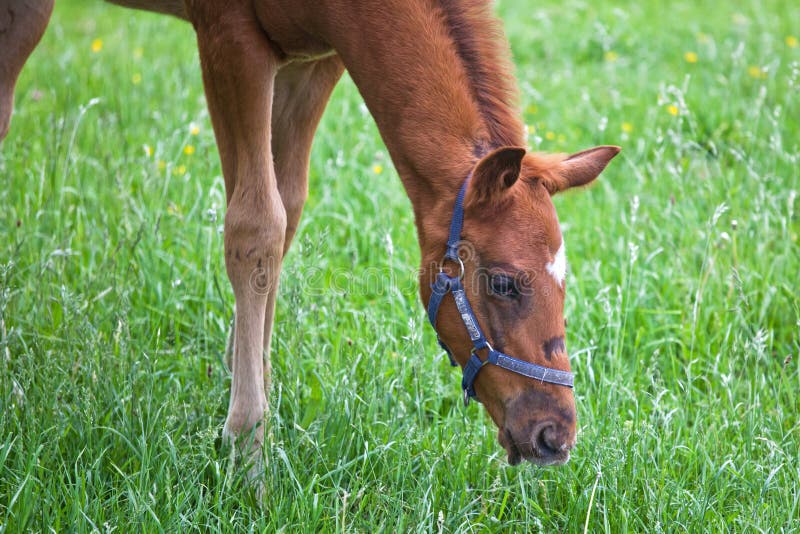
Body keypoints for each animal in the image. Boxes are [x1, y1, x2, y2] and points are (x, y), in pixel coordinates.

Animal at [0, 0, 619, 474]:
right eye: (503, 283)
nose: (554, 435)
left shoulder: (314, 58)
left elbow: (286, 211)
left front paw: (245, 395)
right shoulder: (229, 37)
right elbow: (255, 225)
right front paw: (247, 451)